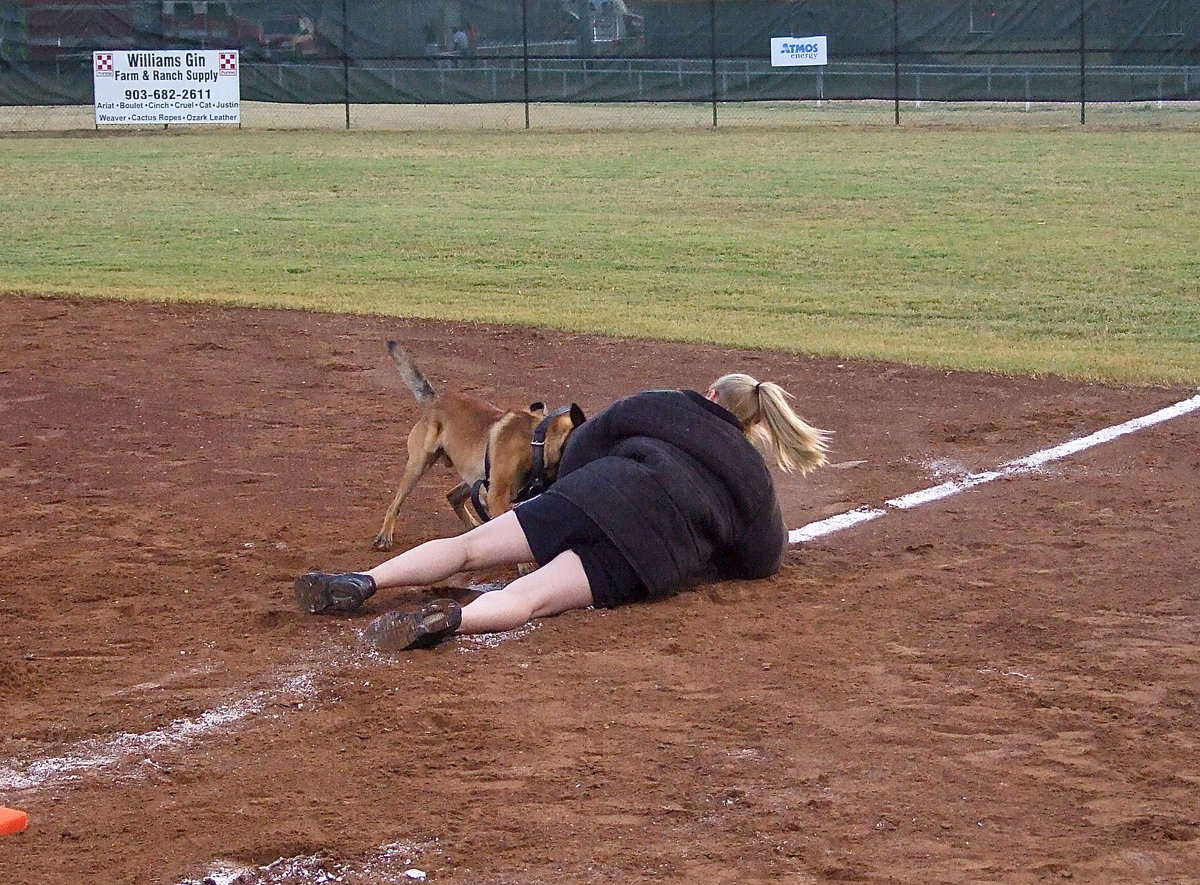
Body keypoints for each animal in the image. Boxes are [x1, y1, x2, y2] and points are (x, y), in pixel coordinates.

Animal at [372, 340, 583, 549]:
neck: (537, 441)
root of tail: (436, 400)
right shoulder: (497, 496)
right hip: (419, 466)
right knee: (396, 504)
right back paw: (385, 535)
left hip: (475, 476)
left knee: (452, 496)